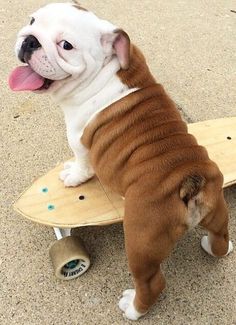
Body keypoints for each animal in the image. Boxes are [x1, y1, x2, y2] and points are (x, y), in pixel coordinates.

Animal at [8, 2, 232, 320]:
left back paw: (133, 308)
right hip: (217, 208)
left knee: (152, 283)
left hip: (140, 240)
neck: (107, 70)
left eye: (66, 45)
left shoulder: (78, 140)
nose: (30, 40)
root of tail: (191, 182)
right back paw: (217, 246)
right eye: (33, 20)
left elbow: (82, 165)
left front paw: (72, 177)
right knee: (220, 237)